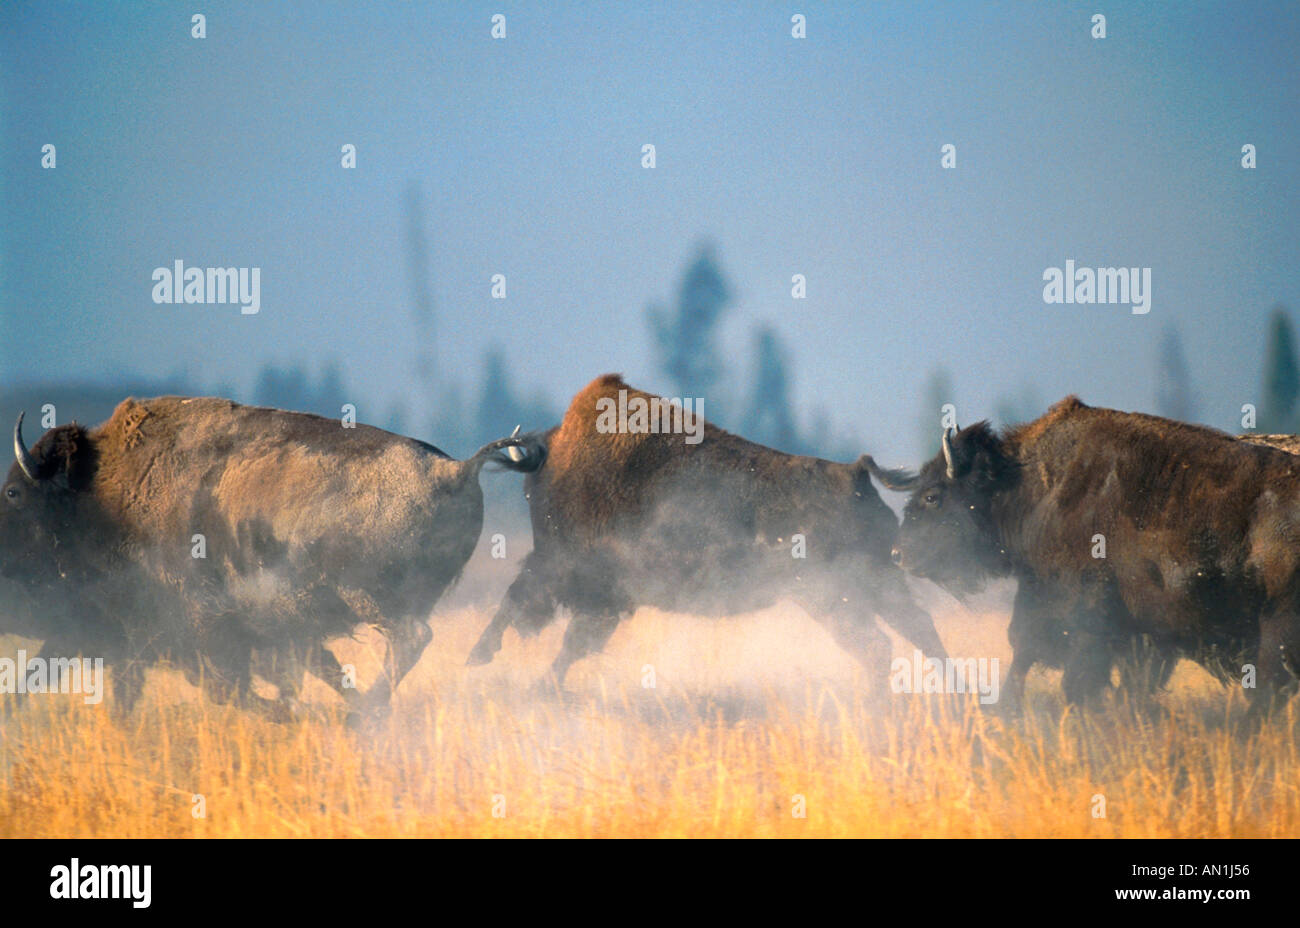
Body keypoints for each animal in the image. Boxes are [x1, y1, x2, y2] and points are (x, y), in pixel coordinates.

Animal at [468, 373, 947, 691]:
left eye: (533, 495)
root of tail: (854, 473)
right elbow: (568, 640)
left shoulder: (570, 575)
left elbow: (535, 615)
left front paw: (481, 660)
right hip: (875, 583)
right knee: (916, 629)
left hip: (830, 597)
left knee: (878, 644)